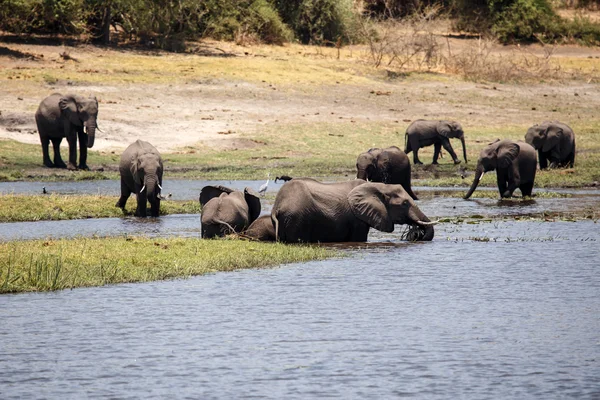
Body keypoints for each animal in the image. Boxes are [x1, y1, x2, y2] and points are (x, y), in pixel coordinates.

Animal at [270, 179, 434, 244]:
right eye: (405, 204)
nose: (417, 235)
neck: (379, 186)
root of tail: (277, 206)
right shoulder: (357, 219)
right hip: (297, 218)